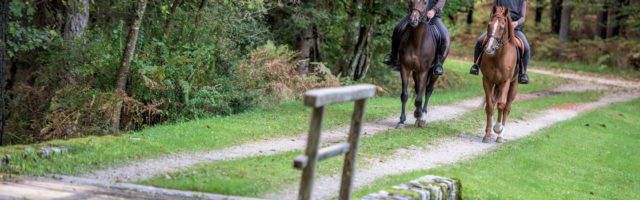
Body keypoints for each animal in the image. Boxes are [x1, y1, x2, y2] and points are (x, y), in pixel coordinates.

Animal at [396, 0, 444, 128]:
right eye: (411, 1)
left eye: (425, 2)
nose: (413, 20)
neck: (416, 41)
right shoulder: (405, 68)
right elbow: (405, 95)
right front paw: (401, 120)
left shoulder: (423, 71)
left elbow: (419, 98)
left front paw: (419, 114)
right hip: (415, 72)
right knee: (419, 90)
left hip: (433, 73)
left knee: (427, 91)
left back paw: (423, 117)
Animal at [478, 6, 524, 143]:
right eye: (489, 25)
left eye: (502, 28)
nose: (488, 49)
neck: (498, 56)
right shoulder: (487, 80)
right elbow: (489, 106)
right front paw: (488, 134)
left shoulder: (505, 82)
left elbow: (501, 105)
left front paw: (498, 128)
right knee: (493, 103)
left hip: (513, 85)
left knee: (507, 107)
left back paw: (500, 135)